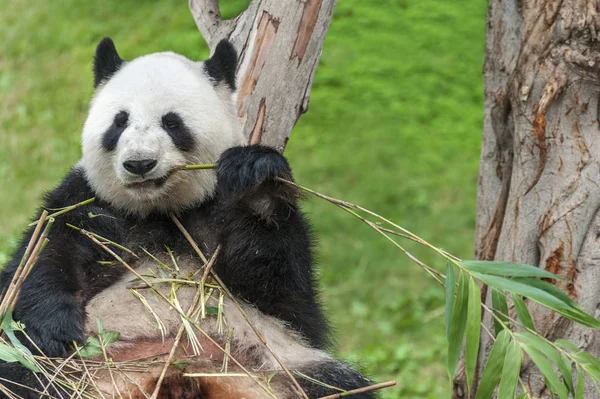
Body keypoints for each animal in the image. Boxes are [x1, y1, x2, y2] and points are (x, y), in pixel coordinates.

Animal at [0, 38, 376, 399]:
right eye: (119, 122)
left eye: (172, 122)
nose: (139, 163)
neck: (158, 209)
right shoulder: (87, 200)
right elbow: (43, 255)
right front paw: (56, 328)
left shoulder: (215, 209)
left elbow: (282, 290)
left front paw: (256, 183)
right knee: (21, 376)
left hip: (278, 363)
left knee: (337, 385)